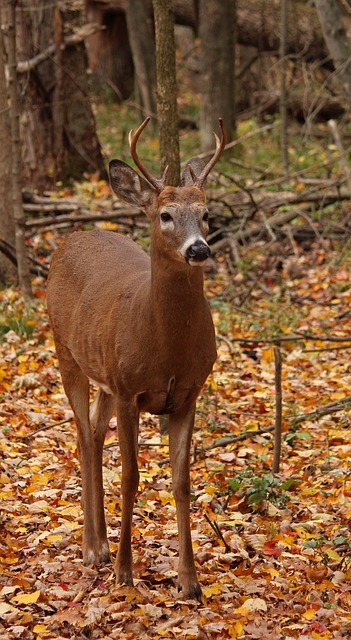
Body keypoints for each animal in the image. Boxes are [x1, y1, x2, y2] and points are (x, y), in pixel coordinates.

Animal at [46, 116, 226, 600]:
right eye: (165, 215)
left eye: (207, 214)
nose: (199, 249)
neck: (166, 348)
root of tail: (73, 236)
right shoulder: (130, 392)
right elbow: (130, 478)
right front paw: (125, 573)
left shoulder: (187, 394)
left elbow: (181, 482)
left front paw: (189, 582)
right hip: (67, 352)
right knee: (82, 435)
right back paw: (94, 549)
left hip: (105, 373)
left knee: (92, 430)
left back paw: (101, 543)